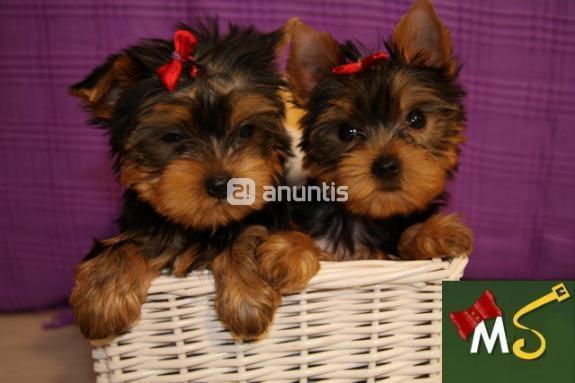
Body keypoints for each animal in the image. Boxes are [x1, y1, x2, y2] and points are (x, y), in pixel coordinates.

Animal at [70, 21, 322, 340]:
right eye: (174, 137)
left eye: (245, 131)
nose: (221, 183)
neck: (203, 226)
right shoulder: (146, 226)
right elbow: (125, 244)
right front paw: (102, 297)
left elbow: (247, 231)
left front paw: (247, 298)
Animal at [286, 0, 472, 260]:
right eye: (346, 132)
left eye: (417, 119)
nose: (386, 166)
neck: (367, 219)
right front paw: (288, 252)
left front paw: (438, 232)